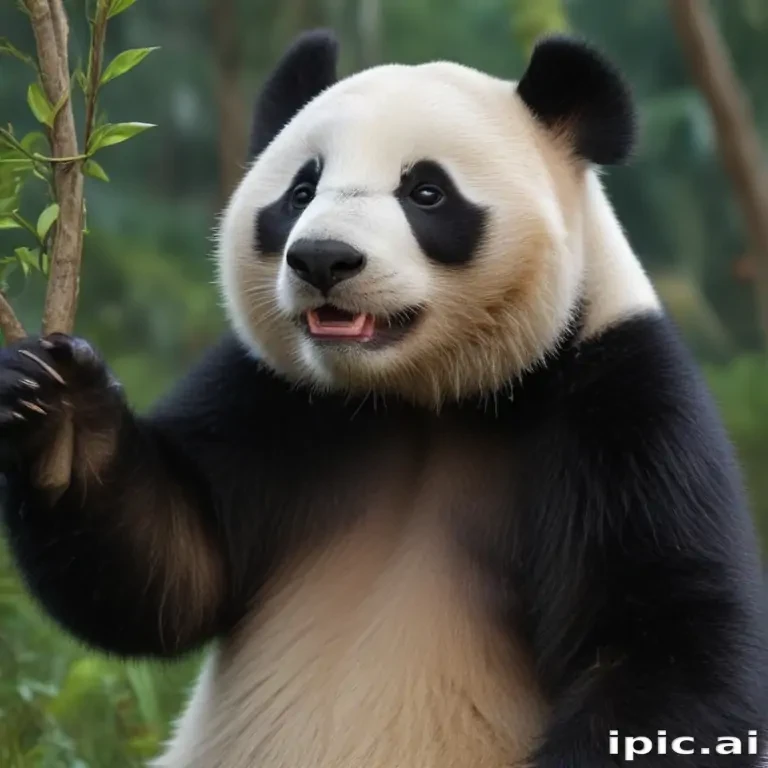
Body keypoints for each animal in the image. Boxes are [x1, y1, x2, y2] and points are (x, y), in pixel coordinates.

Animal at [0, 28, 766, 768]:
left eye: (426, 192)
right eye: (301, 191)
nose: (322, 259)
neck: (416, 399)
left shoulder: (620, 403)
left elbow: (663, 644)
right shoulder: (273, 393)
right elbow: (176, 566)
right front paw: (61, 407)